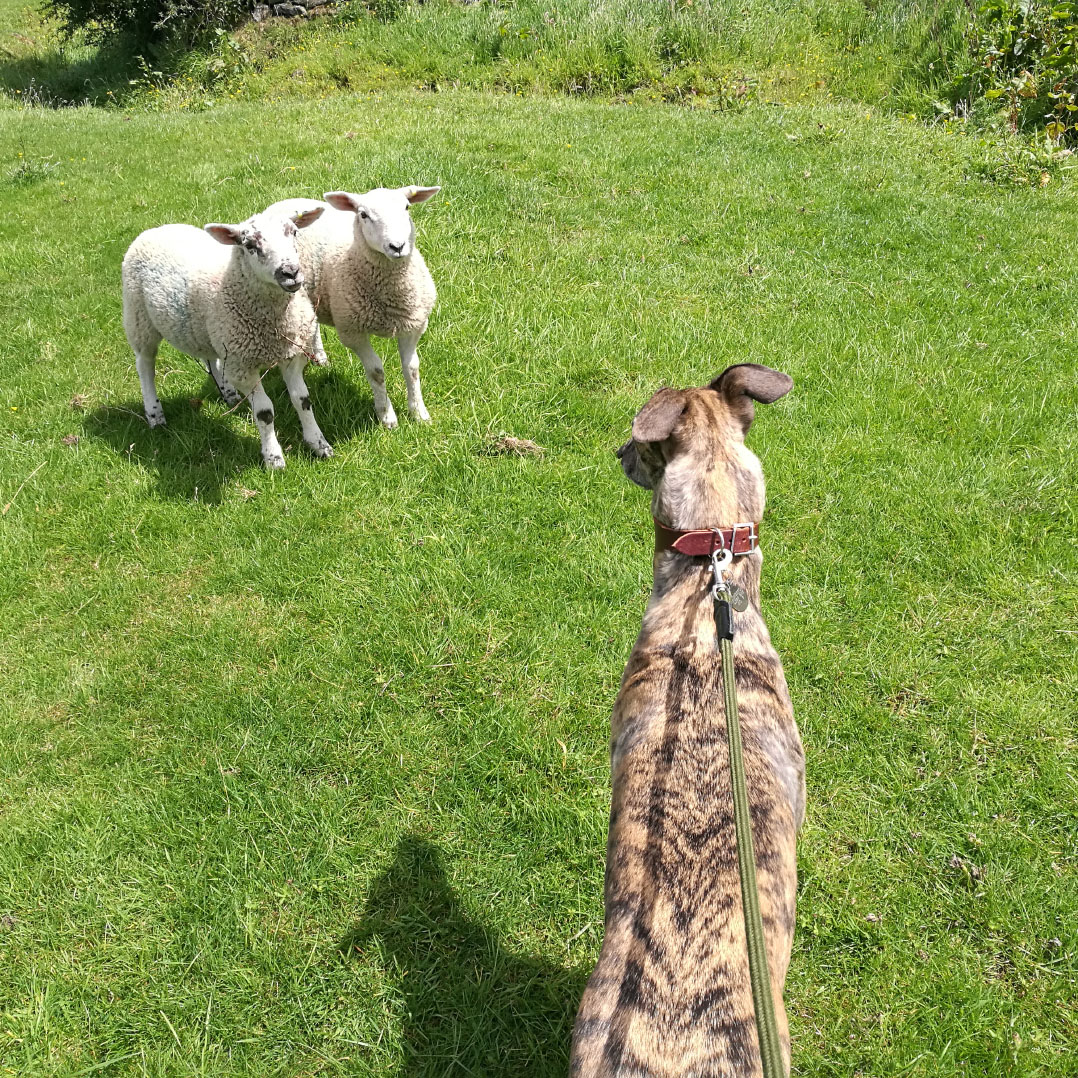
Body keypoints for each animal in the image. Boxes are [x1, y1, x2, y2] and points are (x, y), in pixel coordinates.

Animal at [121, 207, 332, 470]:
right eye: (249, 245)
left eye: (293, 232)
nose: (290, 273)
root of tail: (155, 229)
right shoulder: (243, 367)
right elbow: (265, 412)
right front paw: (274, 459)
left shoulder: (290, 354)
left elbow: (302, 400)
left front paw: (319, 444)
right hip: (139, 318)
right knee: (145, 365)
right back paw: (154, 413)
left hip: (209, 333)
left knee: (211, 359)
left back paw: (229, 393)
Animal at [267, 186, 440, 428]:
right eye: (363, 215)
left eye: (407, 207)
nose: (397, 246)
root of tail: (282, 203)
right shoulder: (354, 332)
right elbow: (376, 372)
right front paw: (387, 417)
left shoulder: (413, 325)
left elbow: (412, 368)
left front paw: (419, 413)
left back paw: (321, 358)